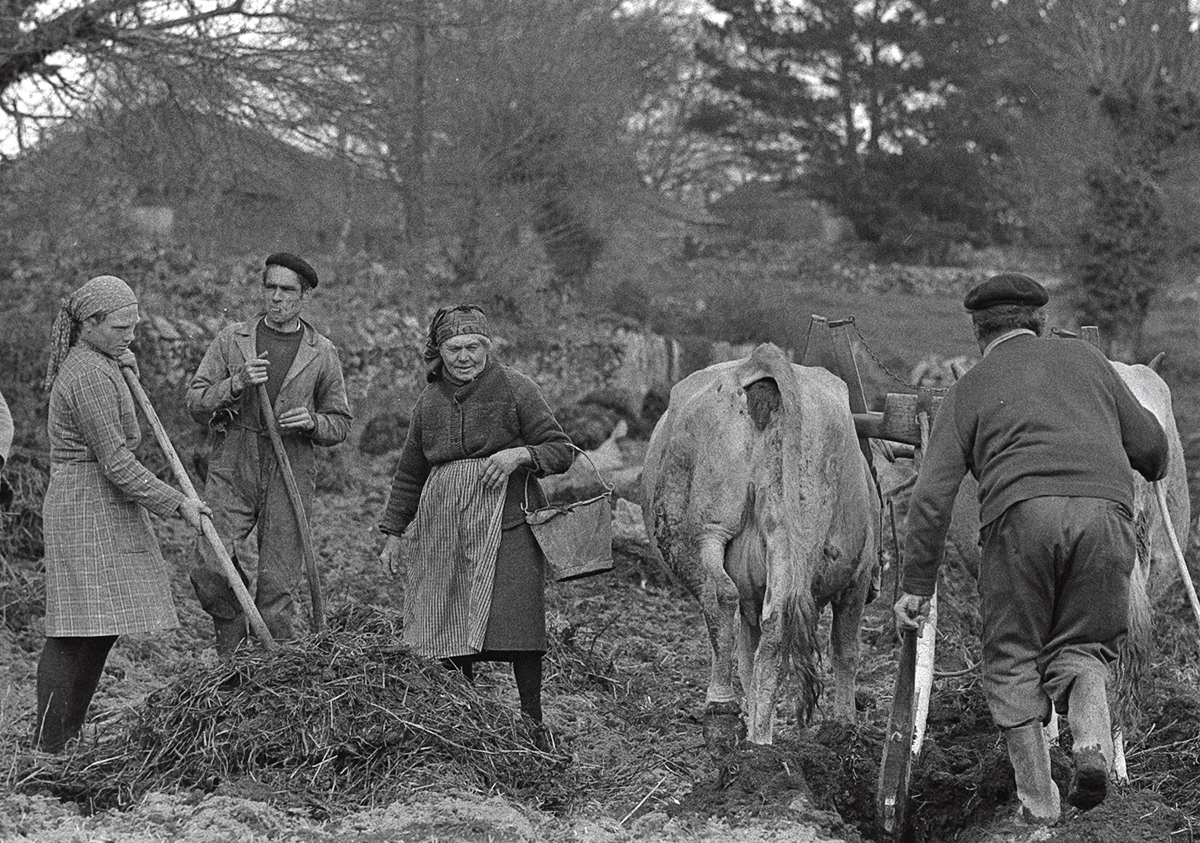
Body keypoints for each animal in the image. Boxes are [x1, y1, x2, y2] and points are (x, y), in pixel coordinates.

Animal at [638, 343, 883, 768]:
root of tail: (758, 363)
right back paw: (744, 730)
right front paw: (844, 728)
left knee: (736, 607)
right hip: (765, 534)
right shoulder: (858, 578)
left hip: (719, 531)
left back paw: (737, 727)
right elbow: (845, 652)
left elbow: (749, 656)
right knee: (757, 616)